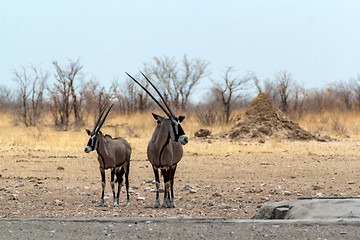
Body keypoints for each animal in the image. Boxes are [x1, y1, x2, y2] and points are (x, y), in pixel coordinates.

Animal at [125, 71, 188, 208]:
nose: (185, 139)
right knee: (166, 180)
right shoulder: (155, 165)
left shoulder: (168, 165)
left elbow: (168, 183)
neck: (159, 147)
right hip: (164, 167)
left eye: (179, 122)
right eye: (173, 123)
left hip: (173, 165)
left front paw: (167, 202)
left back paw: (171, 202)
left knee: (171, 181)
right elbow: (158, 182)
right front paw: (157, 202)